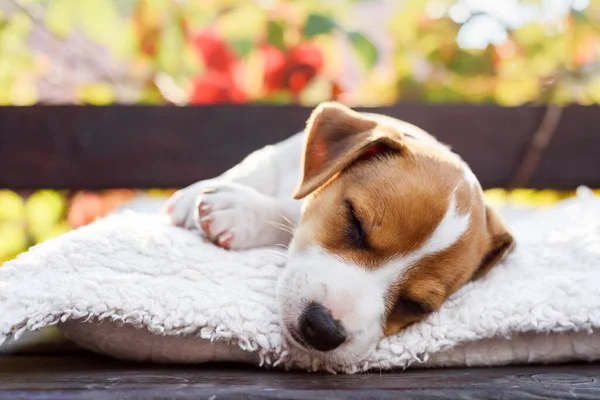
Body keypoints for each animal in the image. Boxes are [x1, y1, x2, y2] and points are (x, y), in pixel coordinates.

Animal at [165, 102, 516, 362]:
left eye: (416, 306)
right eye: (355, 222)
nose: (323, 329)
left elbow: (290, 210)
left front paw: (238, 211)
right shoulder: (275, 157)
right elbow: (258, 175)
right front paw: (195, 196)